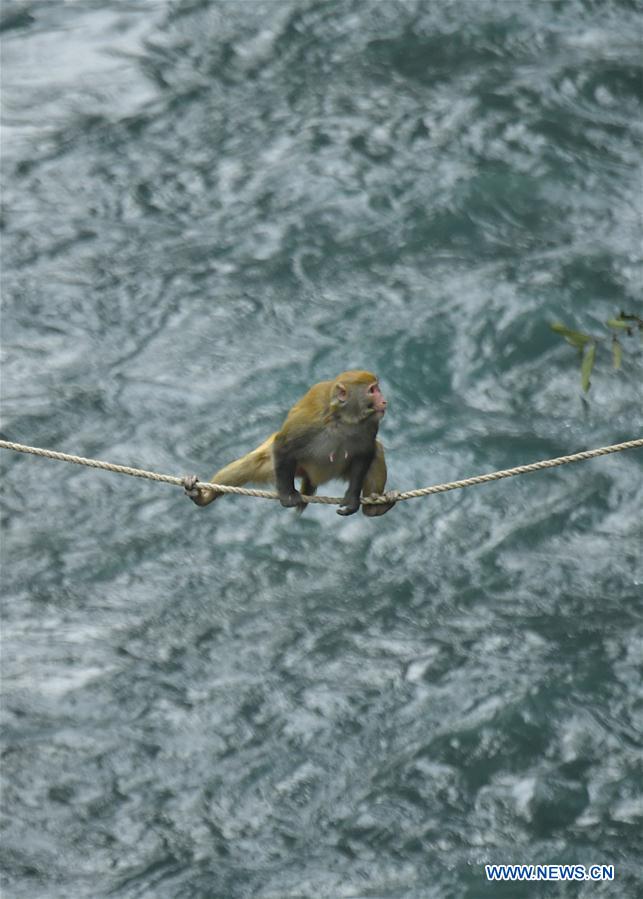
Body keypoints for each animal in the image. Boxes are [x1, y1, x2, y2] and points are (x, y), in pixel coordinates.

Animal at [183, 370, 397, 517]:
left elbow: (365, 452)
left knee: (377, 451)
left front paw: (352, 499)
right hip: (286, 468)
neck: (343, 420)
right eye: (373, 390)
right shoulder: (309, 422)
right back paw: (203, 498)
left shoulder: (370, 424)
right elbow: (283, 446)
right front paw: (287, 495)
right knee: (255, 461)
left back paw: (373, 509)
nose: (384, 401)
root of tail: (314, 478)